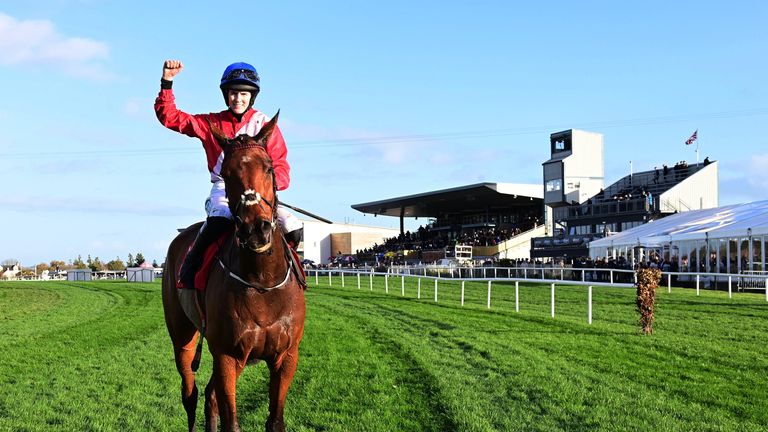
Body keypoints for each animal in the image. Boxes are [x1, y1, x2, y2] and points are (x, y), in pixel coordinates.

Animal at [162, 112, 306, 432]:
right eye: (226, 173)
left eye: (268, 168)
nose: (256, 229)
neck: (262, 282)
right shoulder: (227, 356)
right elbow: (232, 422)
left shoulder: (286, 357)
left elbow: (275, 420)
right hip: (183, 339)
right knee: (190, 393)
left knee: (209, 395)